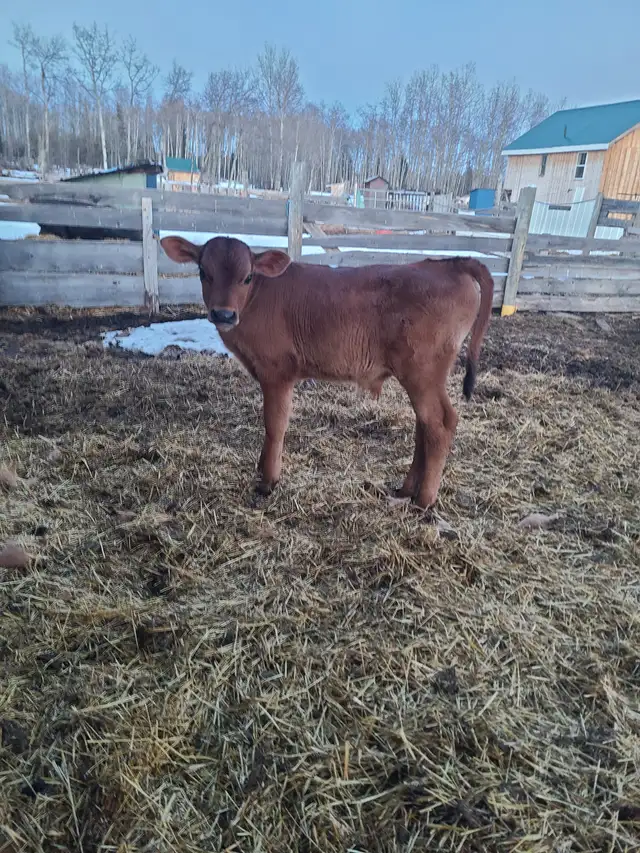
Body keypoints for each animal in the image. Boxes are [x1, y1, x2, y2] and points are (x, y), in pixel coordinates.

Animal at [160, 235, 494, 509]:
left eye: (248, 277)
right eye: (203, 272)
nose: (223, 314)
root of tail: (446, 265)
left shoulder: (277, 372)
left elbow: (274, 425)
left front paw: (268, 481)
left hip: (423, 371)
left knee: (440, 424)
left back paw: (424, 500)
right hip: (422, 376)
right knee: (424, 426)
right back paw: (406, 490)